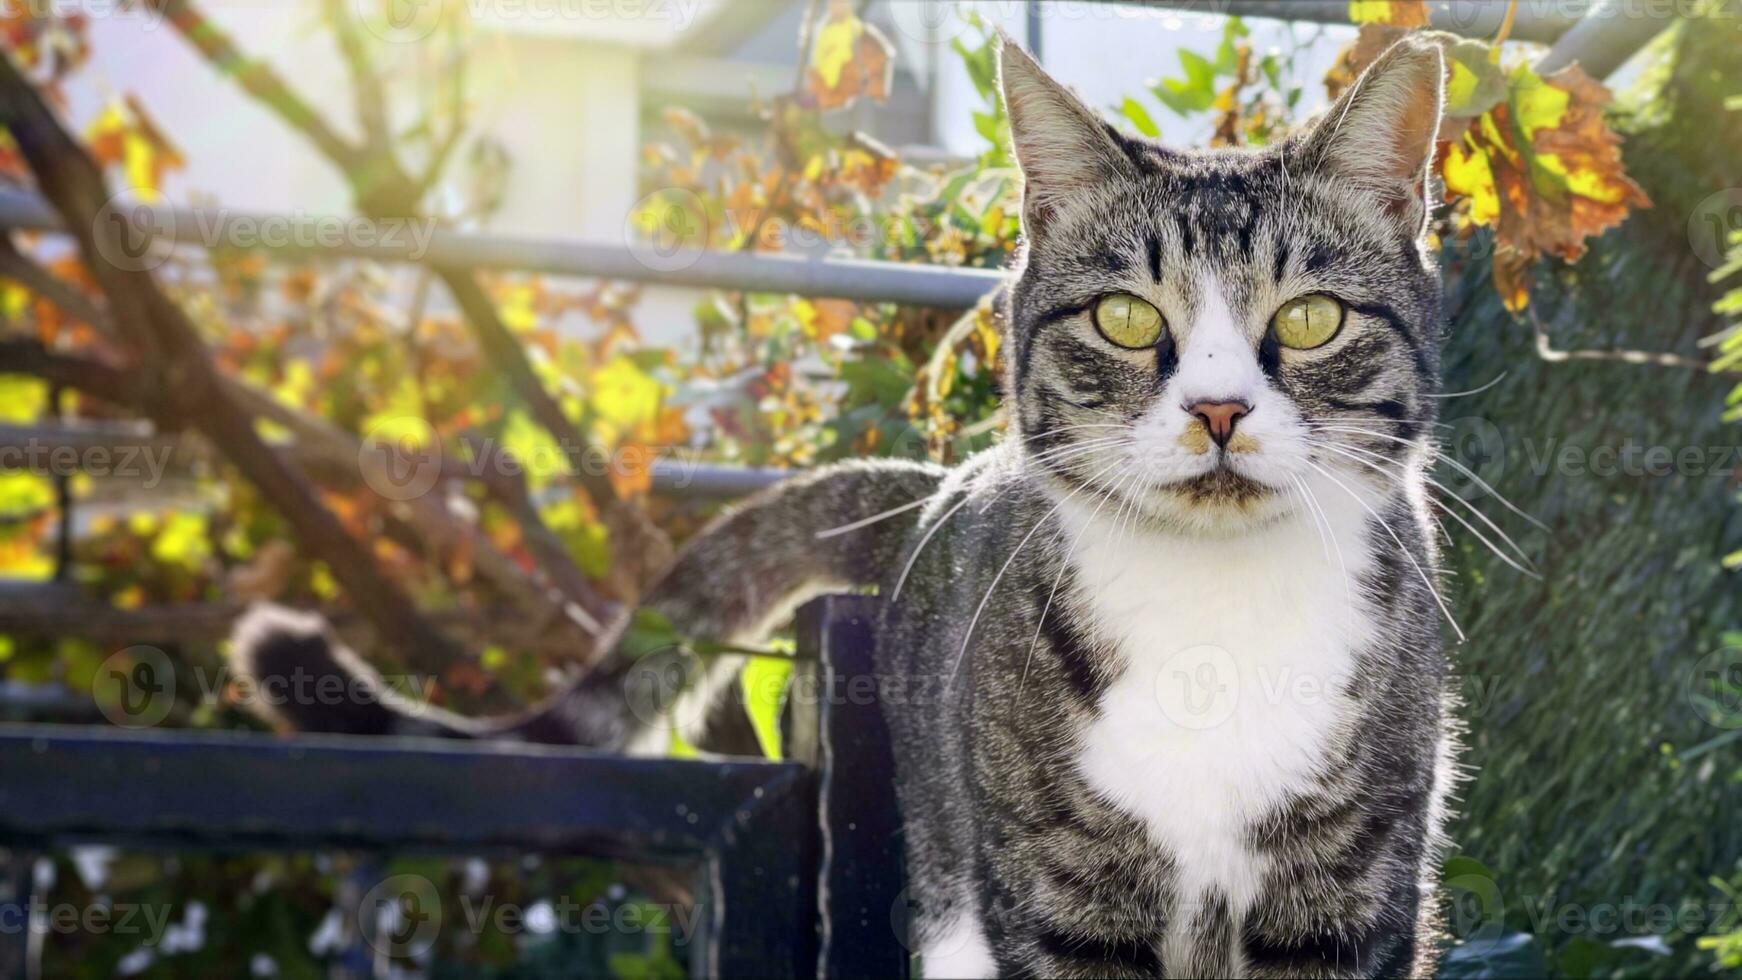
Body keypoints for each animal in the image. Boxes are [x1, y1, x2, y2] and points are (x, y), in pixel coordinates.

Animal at [231, 34, 1456, 974]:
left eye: (1308, 319)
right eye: (1122, 317)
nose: (1216, 409)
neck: (1214, 613)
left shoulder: (1353, 888)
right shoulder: (1056, 887)